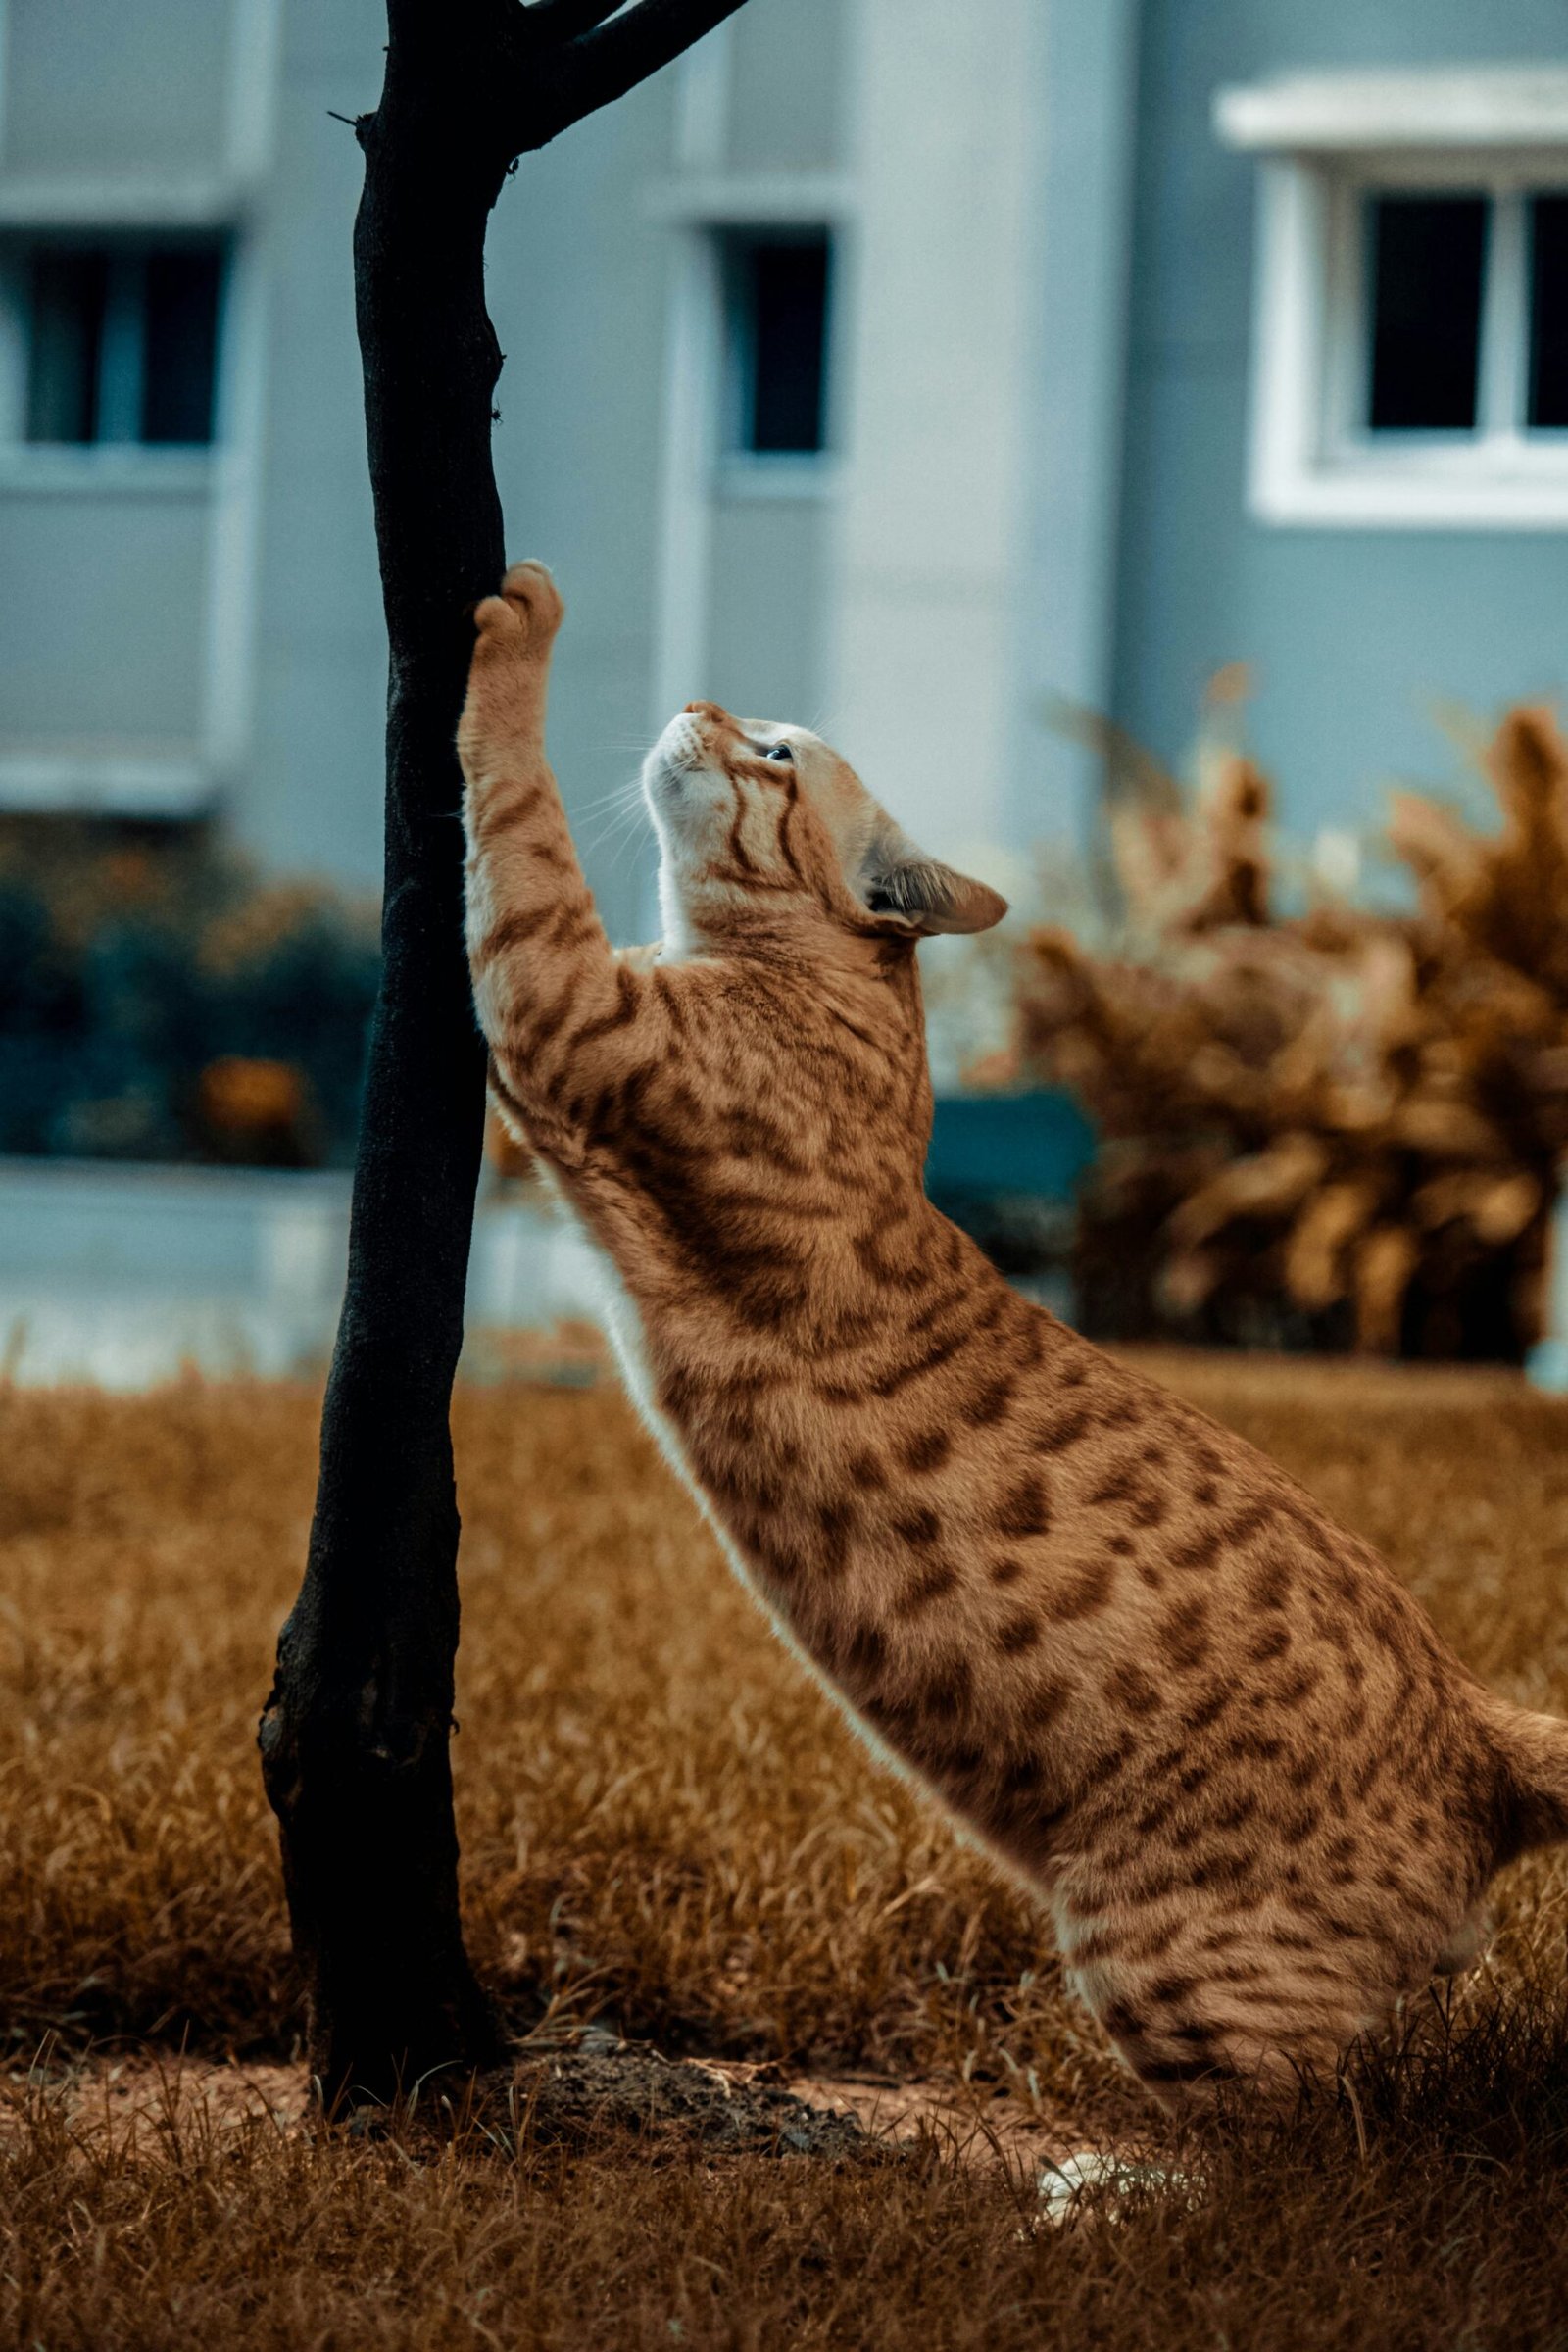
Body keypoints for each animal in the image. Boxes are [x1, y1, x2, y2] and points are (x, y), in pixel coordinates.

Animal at [461, 560, 1568, 2107]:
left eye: (777, 750)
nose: (700, 698)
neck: (829, 991)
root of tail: (1479, 1721)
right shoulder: (553, 1071)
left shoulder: (557, 998)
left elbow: (513, 804)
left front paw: (523, 623)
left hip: (1169, 1967)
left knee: (1304, 2136)